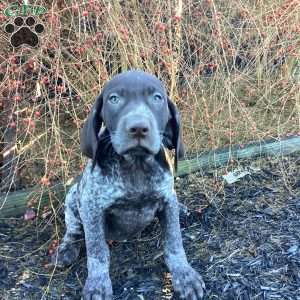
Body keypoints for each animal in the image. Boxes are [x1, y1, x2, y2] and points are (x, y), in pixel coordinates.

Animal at [52, 71, 205, 300]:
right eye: (114, 99)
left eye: (157, 98)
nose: (138, 128)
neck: (136, 166)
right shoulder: (91, 207)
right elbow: (97, 252)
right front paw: (97, 285)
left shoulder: (167, 199)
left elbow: (174, 242)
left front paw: (184, 275)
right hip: (72, 198)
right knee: (73, 231)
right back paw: (66, 250)